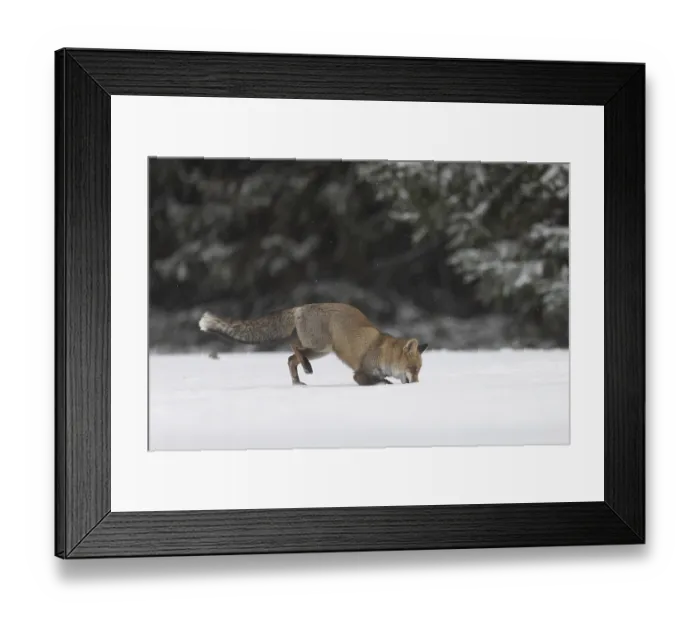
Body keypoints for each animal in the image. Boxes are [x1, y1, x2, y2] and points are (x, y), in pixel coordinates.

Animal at [198, 302, 428, 386]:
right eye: (413, 368)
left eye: (419, 370)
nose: (417, 384)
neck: (383, 352)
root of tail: (300, 307)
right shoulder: (360, 373)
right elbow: (373, 381)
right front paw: (384, 384)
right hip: (321, 346)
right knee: (294, 348)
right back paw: (306, 368)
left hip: (320, 350)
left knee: (290, 358)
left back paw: (297, 381)